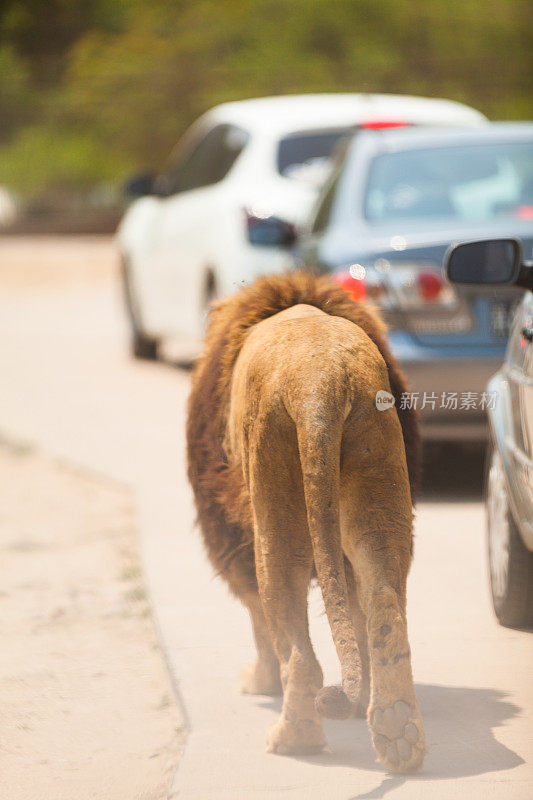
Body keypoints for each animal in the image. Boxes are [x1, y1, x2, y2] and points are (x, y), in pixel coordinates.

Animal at [186, 272, 424, 772]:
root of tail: (320, 385)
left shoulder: (227, 529)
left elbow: (257, 616)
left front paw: (257, 681)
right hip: (376, 467)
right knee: (383, 600)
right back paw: (395, 729)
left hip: (272, 485)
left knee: (292, 632)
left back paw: (294, 739)